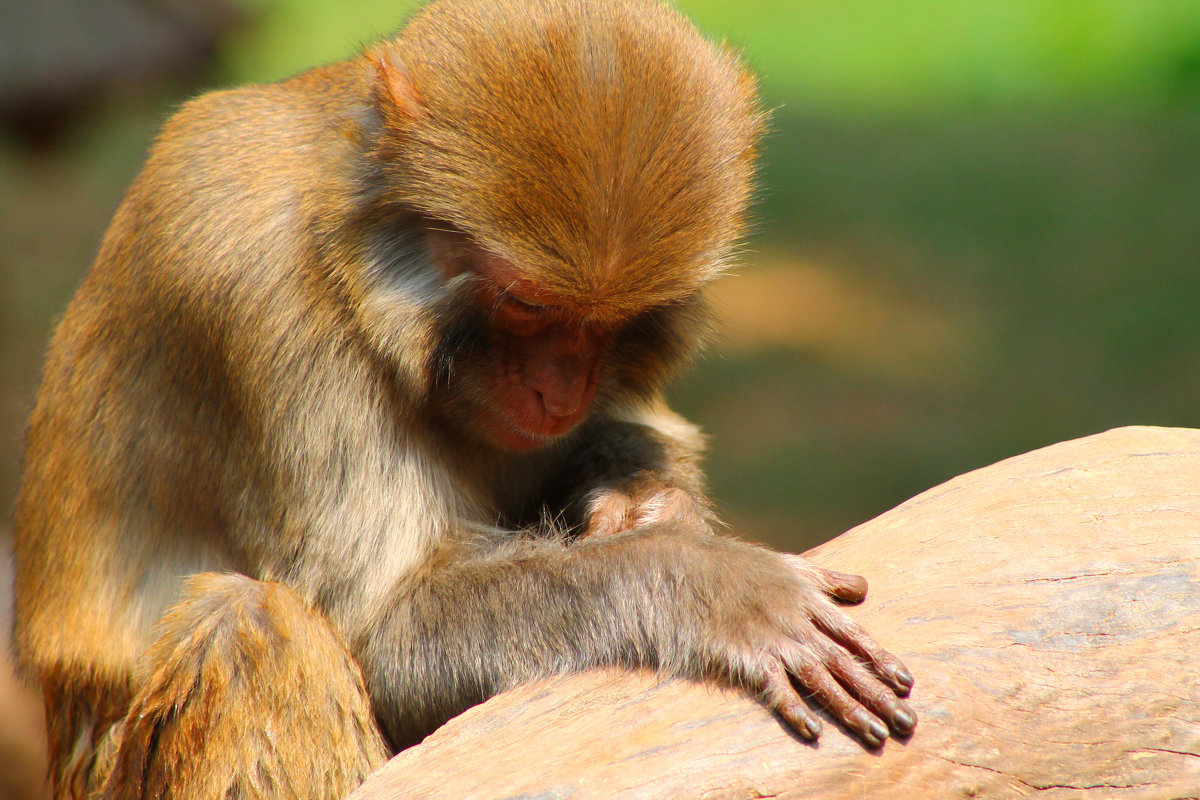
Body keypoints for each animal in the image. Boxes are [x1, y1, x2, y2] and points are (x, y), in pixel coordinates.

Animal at [9, 3, 912, 796]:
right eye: (527, 305)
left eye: (611, 322)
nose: (559, 388)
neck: (345, 243)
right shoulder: (256, 291)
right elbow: (377, 622)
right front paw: (708, 583)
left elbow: (638, 428)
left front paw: (645, 499)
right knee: (246, 625)